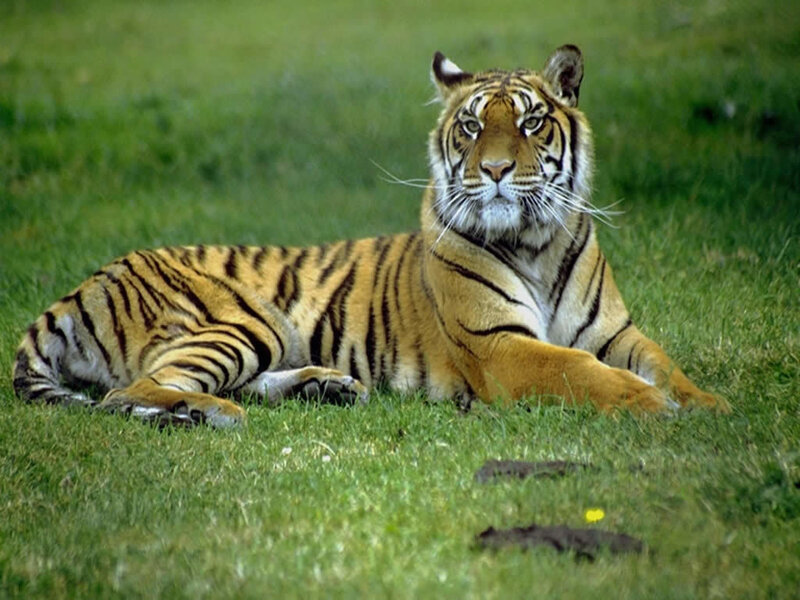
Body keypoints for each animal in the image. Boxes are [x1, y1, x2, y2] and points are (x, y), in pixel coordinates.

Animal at [11, 45, 729, 427]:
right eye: (472, 126)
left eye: (530, 124)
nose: (495, 170)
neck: (537, 243)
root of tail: (84, 283)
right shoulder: (500, 346)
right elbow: (580, 371)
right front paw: (650, 403)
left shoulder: (616, 332)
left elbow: (666, 363)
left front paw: (709, 404)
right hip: (242, 318)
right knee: (132, 392)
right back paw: (207, 413)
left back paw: (324, 387)